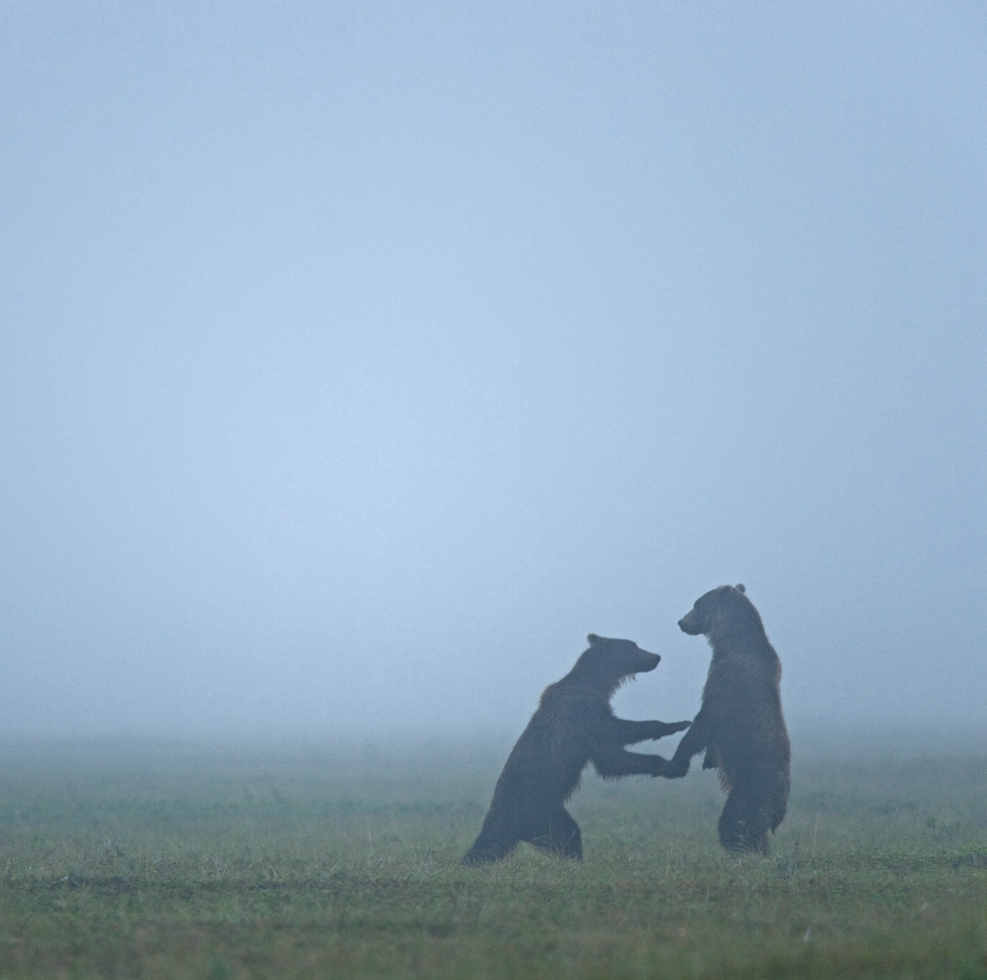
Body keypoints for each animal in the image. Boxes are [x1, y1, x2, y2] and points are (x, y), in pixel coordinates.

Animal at [462, 634, 691, 864]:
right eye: (633, 647)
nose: (657, 657)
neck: (597, 684)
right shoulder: (584, 715)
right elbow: (612, 753)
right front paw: (674, 737)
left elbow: (611, 755)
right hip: (536, 811)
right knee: (564, 836)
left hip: (550, 812)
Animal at [661, 584, 791, 855]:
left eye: (696, 604)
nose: (681, 622)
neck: (730, 640)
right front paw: (708, 760)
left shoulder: (725, 680)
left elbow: (703, 722)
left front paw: (675, 763)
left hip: (751, 788)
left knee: (735, 823)